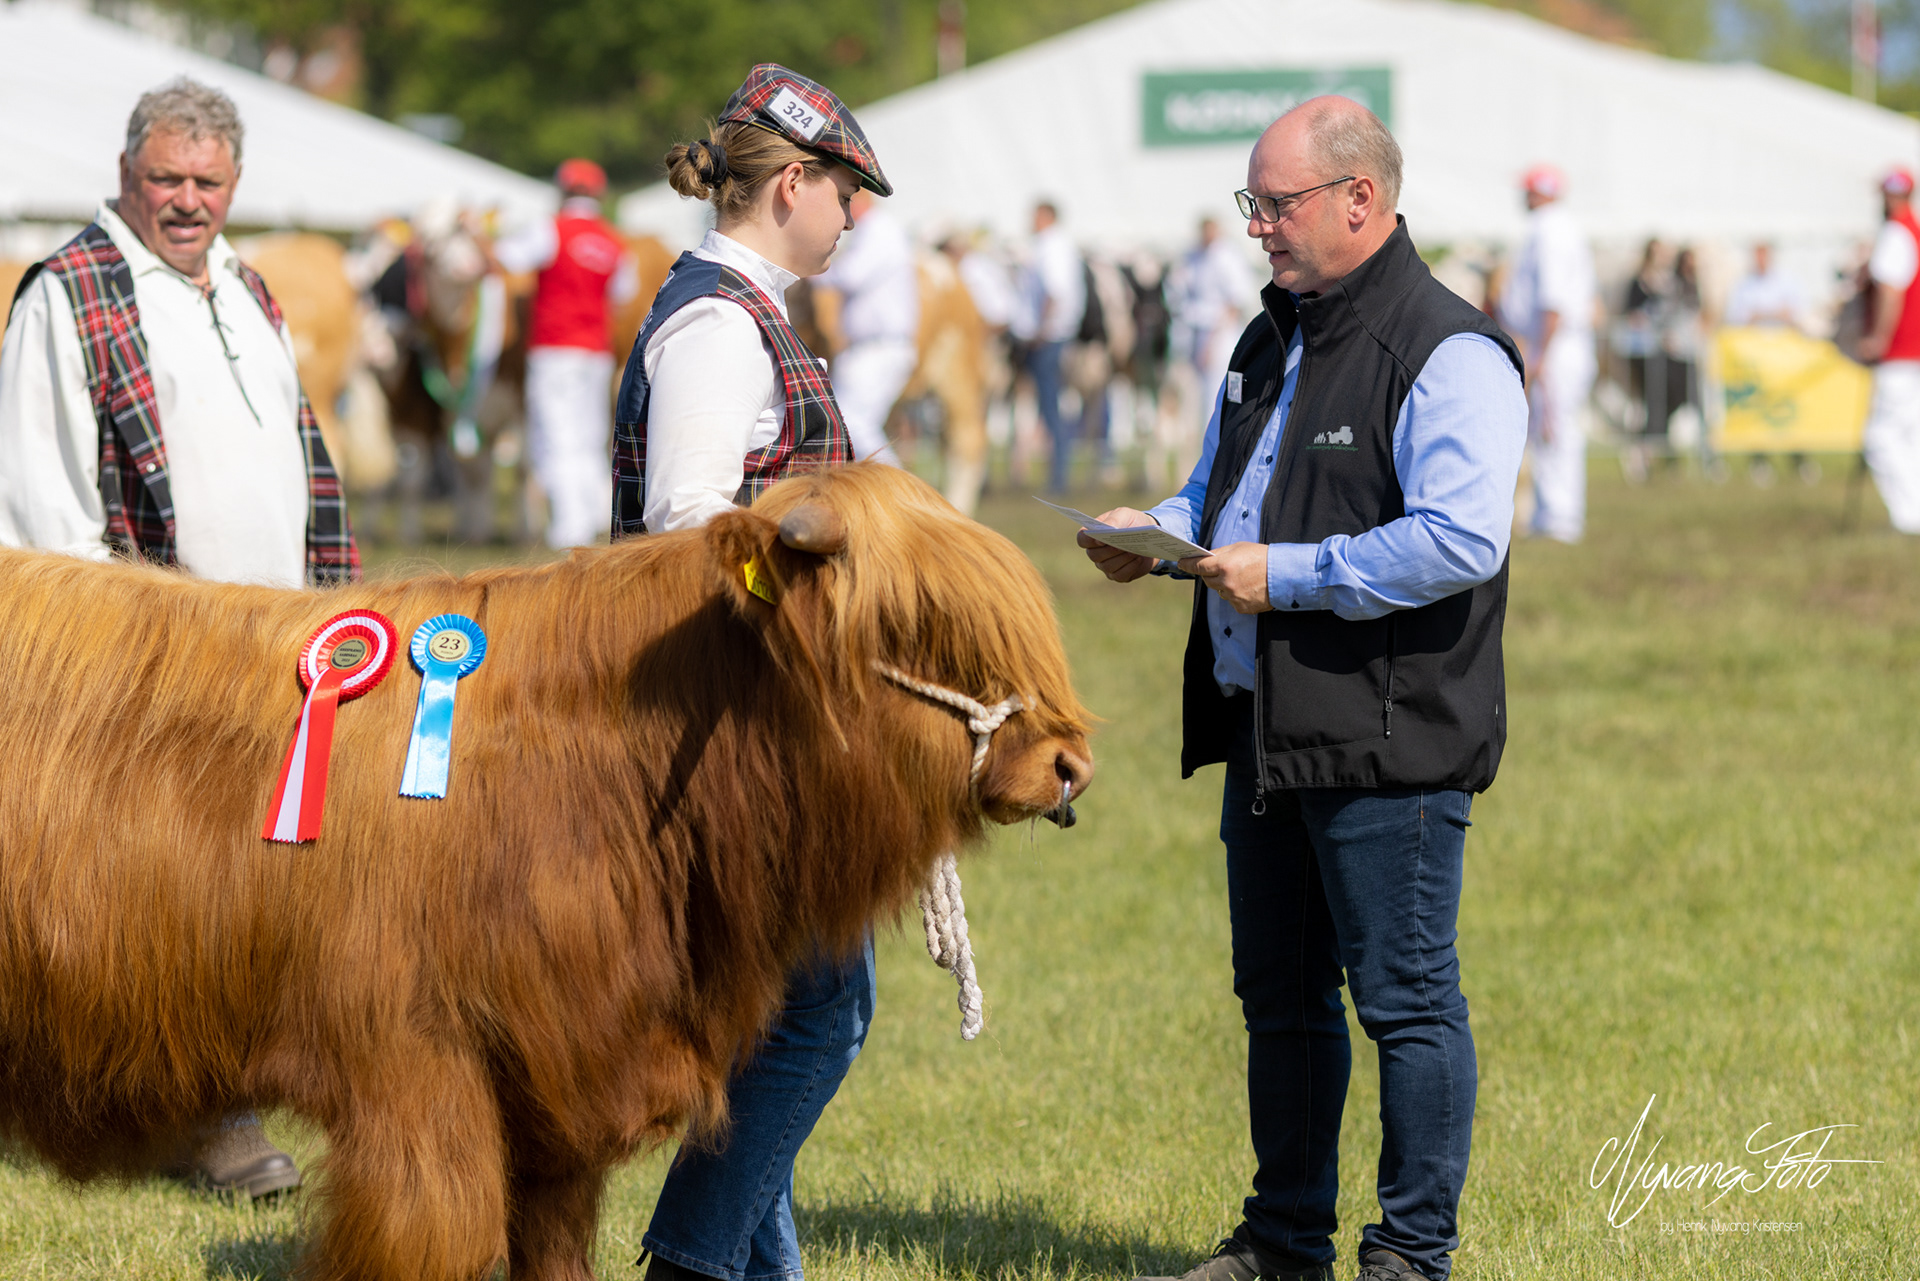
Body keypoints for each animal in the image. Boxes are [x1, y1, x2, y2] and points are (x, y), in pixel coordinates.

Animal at [0, 462, 1093, 1281]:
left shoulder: (559, 1086)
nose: (1068, 761)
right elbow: (434, 1245)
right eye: (916, 623)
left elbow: (554, 1252)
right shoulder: (415, 1067)